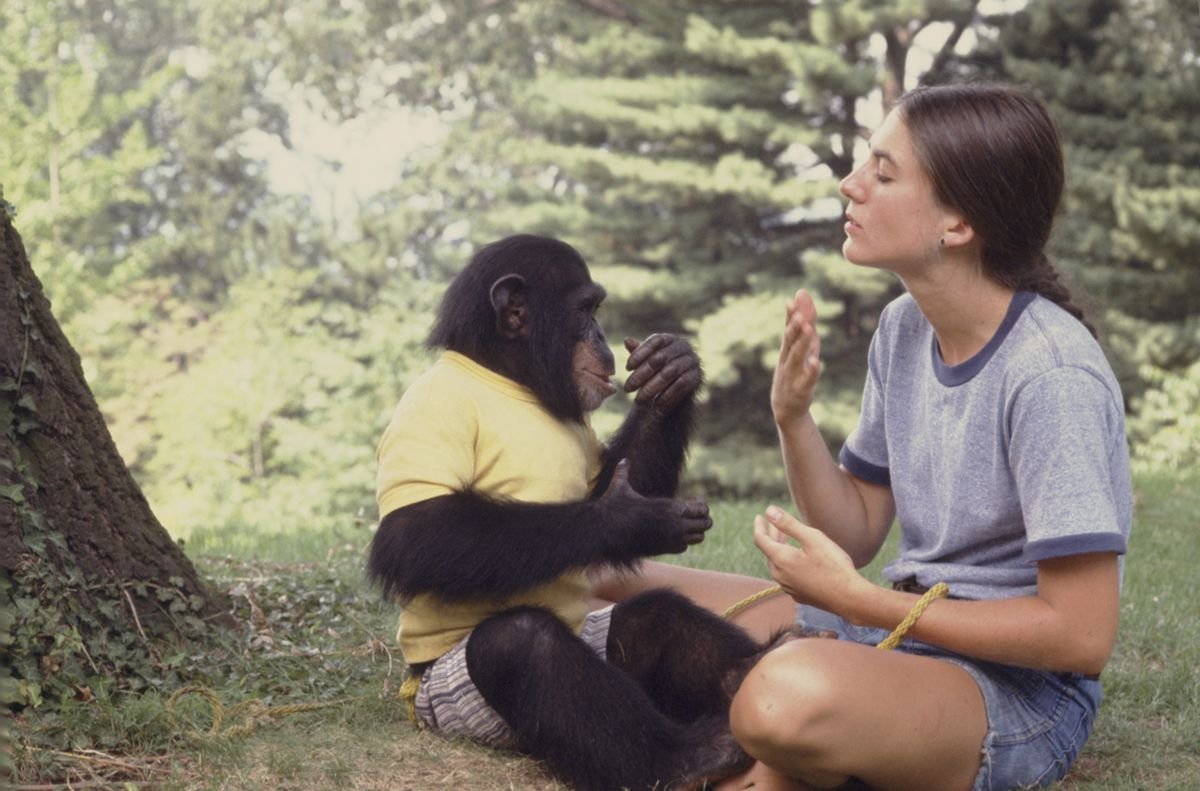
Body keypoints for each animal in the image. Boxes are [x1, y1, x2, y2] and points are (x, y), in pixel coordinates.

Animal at [369, 235, 792, 791]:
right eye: (586, 309)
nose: (603, 335)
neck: (508, 379)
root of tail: (414, 701)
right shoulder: (432, 409)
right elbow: (418, 534)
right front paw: (631, 520)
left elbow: (607, 483)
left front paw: (672, 372)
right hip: (457, 706)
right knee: (519, 644)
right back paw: (685, 759)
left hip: (598, 636)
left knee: (656, 616)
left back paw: (749, 670)